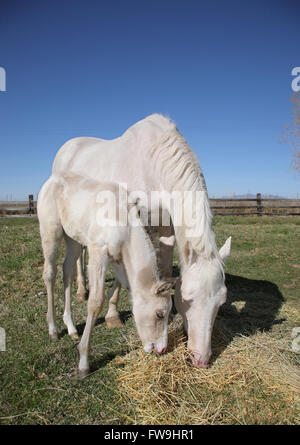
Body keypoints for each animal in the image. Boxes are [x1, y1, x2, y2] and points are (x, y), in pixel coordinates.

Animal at [37, 175, 172, 376]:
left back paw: (71, 327)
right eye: (159, 314)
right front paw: (83, 362)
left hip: (73, 238)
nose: (162, 349)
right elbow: (95, 301)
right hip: (50, 231)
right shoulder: (98, 251)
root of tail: (51, 180)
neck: (124, 222)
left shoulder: (118, 259)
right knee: (50, 274)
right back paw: (53, 329)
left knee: (67, 270)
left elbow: (126, 287)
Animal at [52, 114, 232, 368]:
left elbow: (160, 270)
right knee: (78, 257)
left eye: (221, 302)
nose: (202, 359)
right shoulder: (135, 223)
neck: (155, 165)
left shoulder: (166, 229)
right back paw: (81, 290)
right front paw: (113, 315)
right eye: (189, 298)